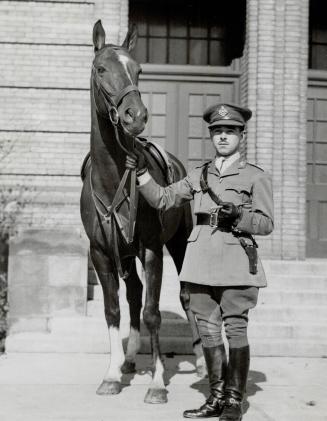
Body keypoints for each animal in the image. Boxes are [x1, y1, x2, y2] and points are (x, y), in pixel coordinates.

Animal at [80, 20, 205, 404]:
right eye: (101, 69)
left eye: (138, 70)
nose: (135, 117)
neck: (112, 179)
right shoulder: (102, 253)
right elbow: (113, 310)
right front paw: (110, 375)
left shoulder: (151, 249)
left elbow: (152, 314)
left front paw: (157, 383)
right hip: (125, 252)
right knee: (133, 294)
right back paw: (130, 358)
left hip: (178, 245)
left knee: (184, 298)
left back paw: (200, 361)